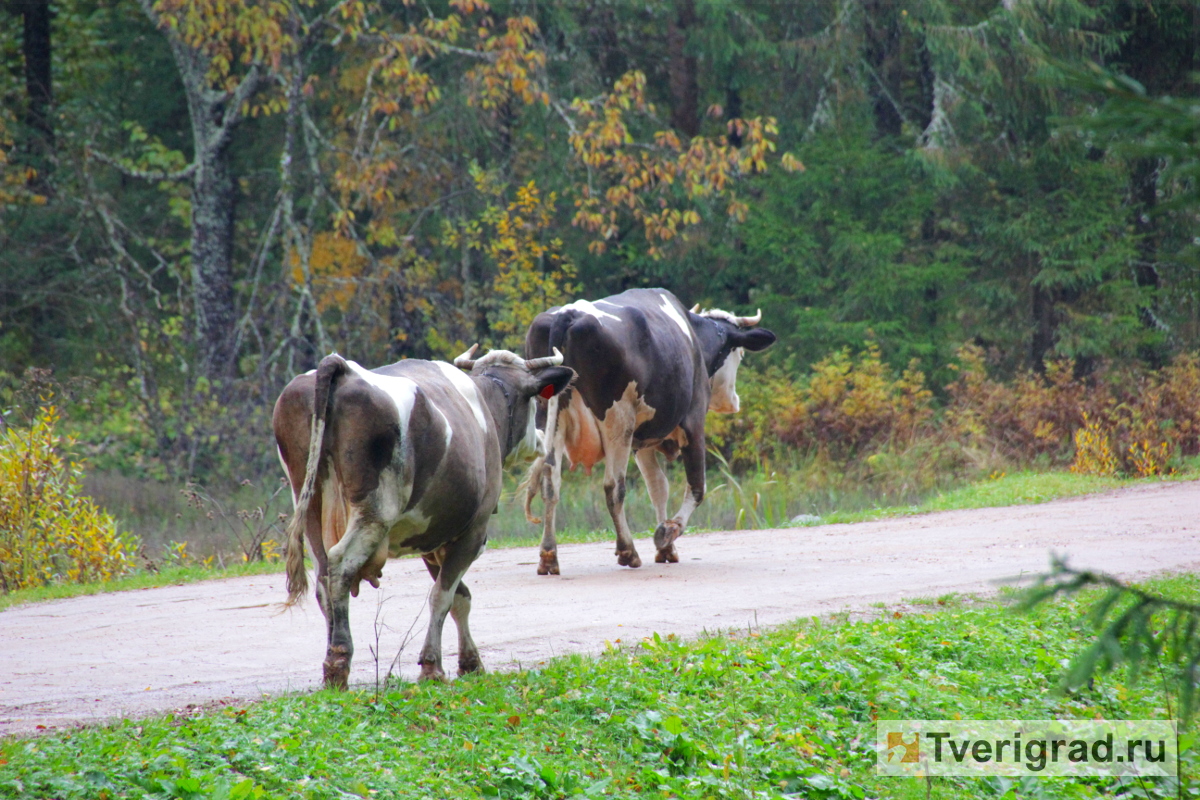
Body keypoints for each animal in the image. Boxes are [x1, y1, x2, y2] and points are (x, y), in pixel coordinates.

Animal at [274, 345, 573, 690]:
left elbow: (460, 597)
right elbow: (442, 597)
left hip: (309, 505)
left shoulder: (434, 540)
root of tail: (341, 366)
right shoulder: (472, 533)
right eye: (535, 401)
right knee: (339, 565)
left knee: (323, 578)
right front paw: (432, 666)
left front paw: (470, 662)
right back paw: (339, 660)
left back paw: (329, 662)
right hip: (374, 512)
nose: (539, 437)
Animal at [525, 289, 777, 575]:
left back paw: (548, 556)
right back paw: (627, 551)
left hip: (549, 418)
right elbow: (697, 487)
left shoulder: (641, 441)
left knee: (550, 483)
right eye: (739, 354)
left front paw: (667, 549)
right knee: (613, 487)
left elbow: (658, 486)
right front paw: (668, 531)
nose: (733, 402)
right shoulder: (693, 422)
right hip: (618, 419)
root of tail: (569, 313)